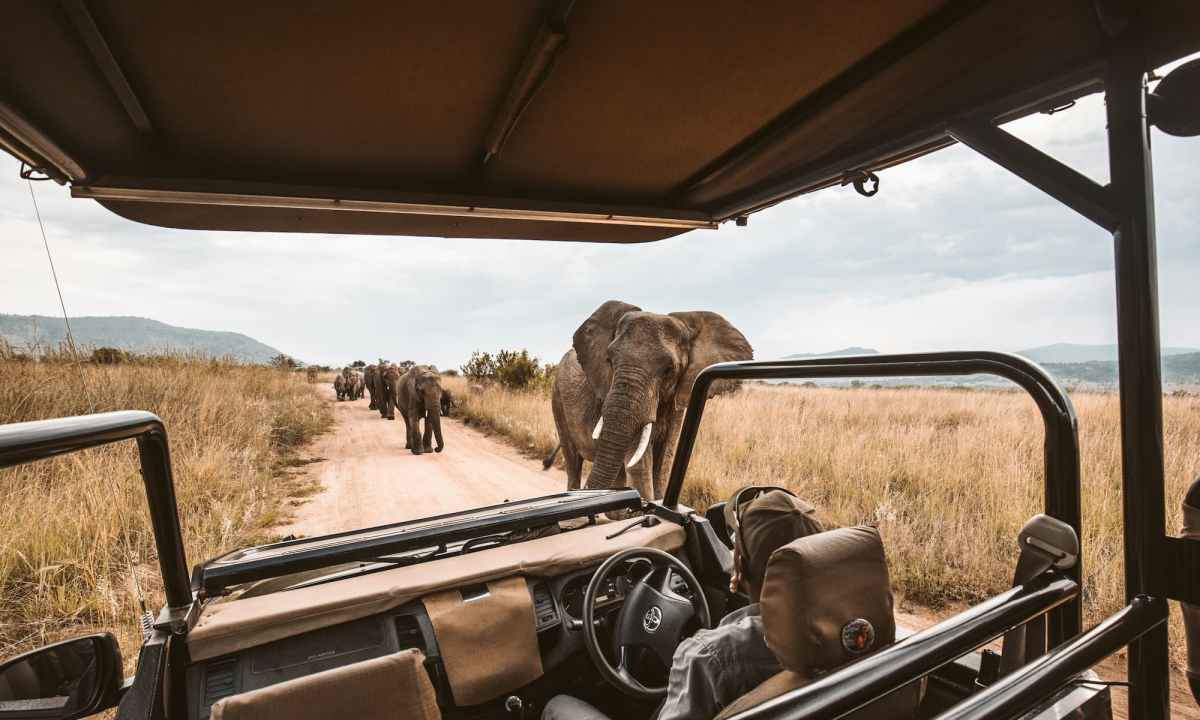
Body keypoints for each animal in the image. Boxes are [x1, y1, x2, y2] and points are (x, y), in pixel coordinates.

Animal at [549, 300, 748, 501]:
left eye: (669, 369)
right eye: (609, 360)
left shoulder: (678, 399)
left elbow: (664, 459)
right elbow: (639, 464)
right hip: (557, 398)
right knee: (573, 462)